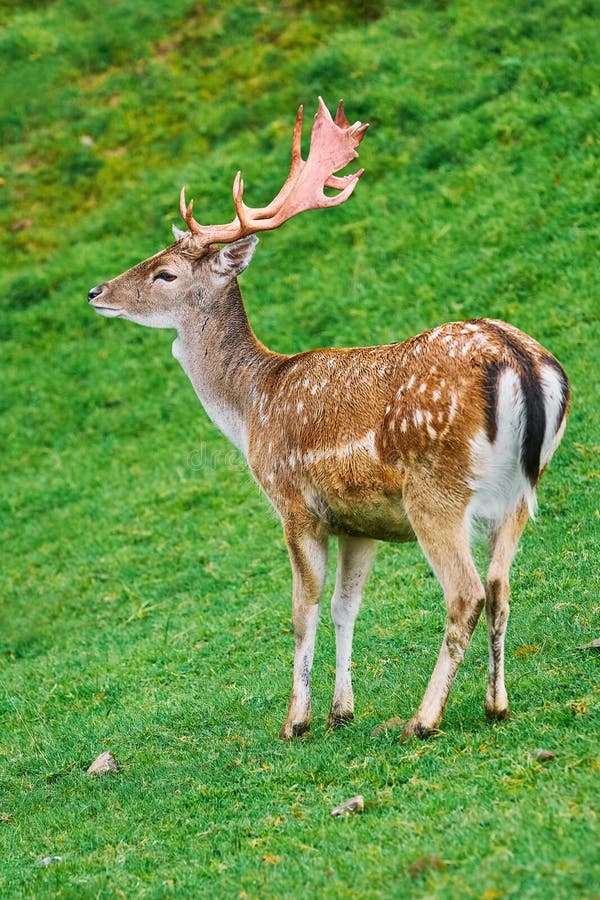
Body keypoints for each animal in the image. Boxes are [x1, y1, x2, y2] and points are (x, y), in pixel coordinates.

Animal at [88, 102, 568, 740]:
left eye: (165, 272)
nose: (96, 291)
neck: (252, 407)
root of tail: (519, 360)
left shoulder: (294, 502)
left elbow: (302, 608)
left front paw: (296, 719)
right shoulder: (358, 522)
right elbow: (346, 605)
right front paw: (342, 710)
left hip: (435, 491)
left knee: (466, 593)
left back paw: (423, 718)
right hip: (518, 492)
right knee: (500, 586)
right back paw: (496, 703)